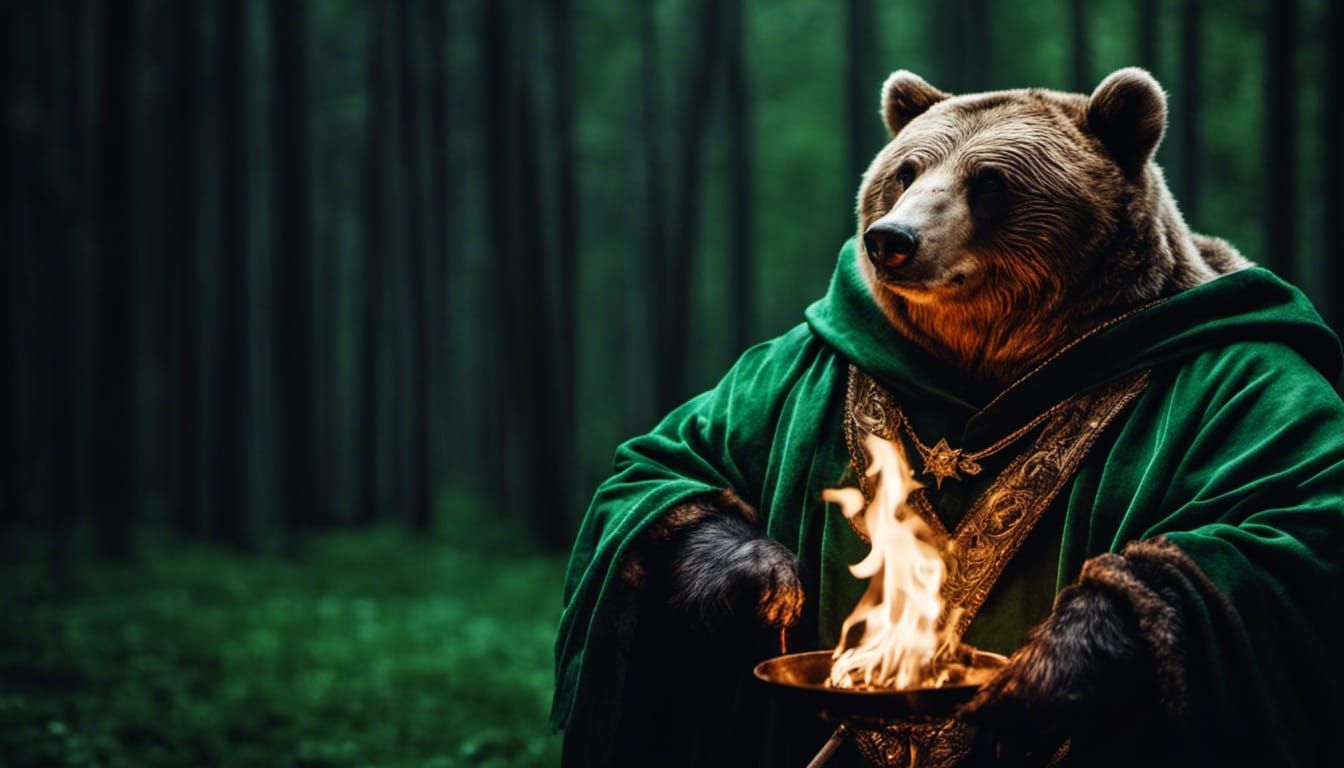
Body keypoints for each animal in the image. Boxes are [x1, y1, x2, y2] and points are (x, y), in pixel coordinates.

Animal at [554, 66, 1343, 768]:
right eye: (906, 170)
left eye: (989, 181)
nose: (892, 239)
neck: (988, 366)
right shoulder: (801, 363)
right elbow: (669, 465)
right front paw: (765, 582)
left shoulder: (1241, 376)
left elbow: (1279, 519)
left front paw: (1048, 670)